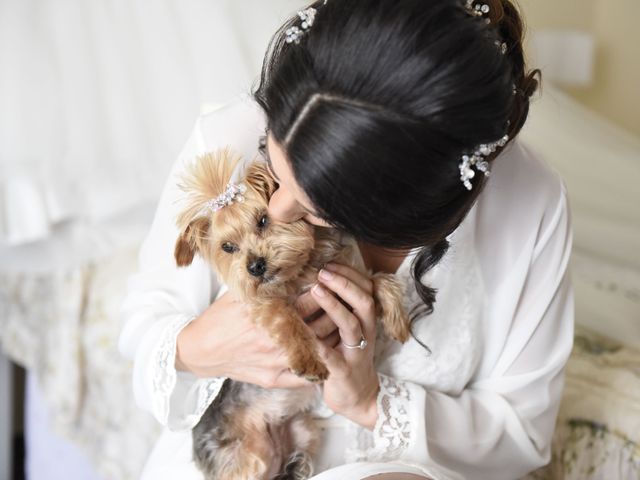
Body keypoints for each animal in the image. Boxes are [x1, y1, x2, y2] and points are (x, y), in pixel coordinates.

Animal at [172, 147, 410, 480]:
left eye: (262, 220)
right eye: (228, 247)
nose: (255, 266)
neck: (301, 270)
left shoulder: (350, 280)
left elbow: (382, 281)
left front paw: (398, 322)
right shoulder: (261, 305)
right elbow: (286, 319)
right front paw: (308, 362)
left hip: (302, 429)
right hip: (246, 460)